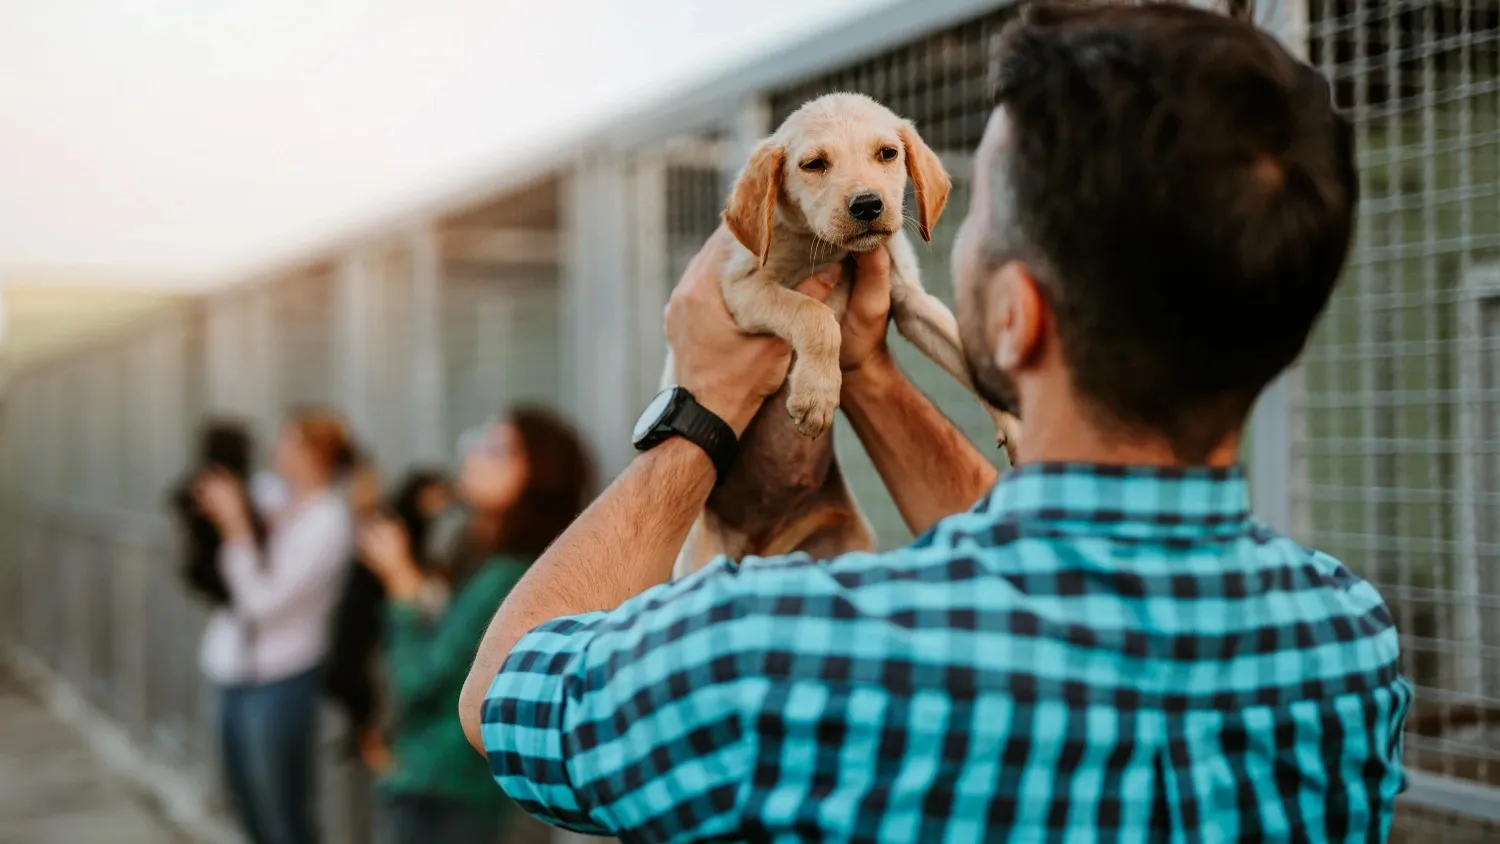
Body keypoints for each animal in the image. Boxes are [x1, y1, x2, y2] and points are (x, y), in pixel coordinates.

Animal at [666, 94, 1020, 581]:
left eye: (887, 154)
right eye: (814, 164)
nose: (868, 205)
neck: (834, 252)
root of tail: (763, 551)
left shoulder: (911, 301)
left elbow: (964, 353)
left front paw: (1015, 422)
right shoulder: (742, 289)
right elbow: (816, 315)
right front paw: (817, 392)